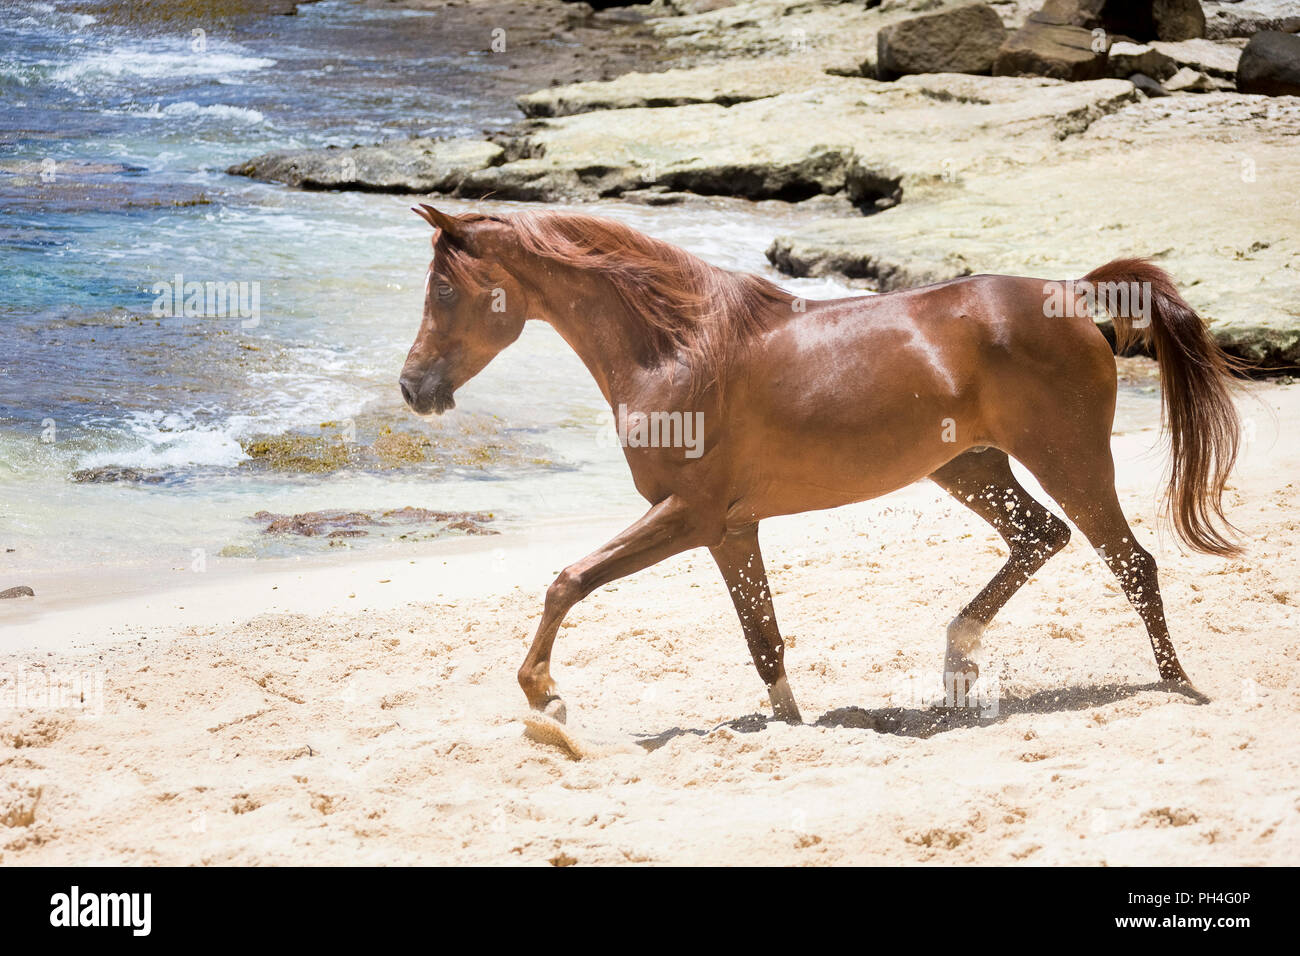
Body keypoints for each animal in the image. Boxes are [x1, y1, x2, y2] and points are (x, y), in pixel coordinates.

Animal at [397, 204, 1237, 723]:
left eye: (442, 288)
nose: (412, 388)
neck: (674, 348)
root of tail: (1074, 295)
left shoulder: (689, 515)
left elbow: (568, 580)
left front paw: (544, 695)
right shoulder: (730, 530)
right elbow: (762, 638)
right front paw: (793, 725)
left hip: (1068, 458)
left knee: (1131, 561)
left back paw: (1175, 685)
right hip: (971, 467)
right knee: (1042, 538)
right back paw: (958, 663)